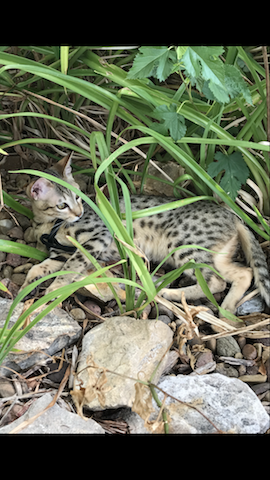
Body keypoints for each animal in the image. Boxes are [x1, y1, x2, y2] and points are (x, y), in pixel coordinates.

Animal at [21, 152, 270, 314]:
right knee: (244, 273)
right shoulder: (60, 253)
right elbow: (39, 267)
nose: (79, 212)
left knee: (216, 282)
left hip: (184, 246)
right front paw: (26, 286)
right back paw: (227, 308)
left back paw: (169, 294)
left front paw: (52, 290)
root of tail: (233, 215)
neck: (52, 224)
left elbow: (70, 267)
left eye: (79, 197)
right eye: (62, 205)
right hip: (215, 255)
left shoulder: (97, 238)